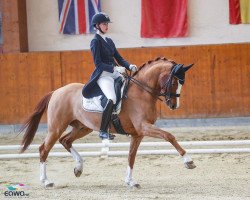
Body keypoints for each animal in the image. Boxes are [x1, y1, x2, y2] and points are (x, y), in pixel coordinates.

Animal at [19, 57, 195, 188]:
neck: (141, 93)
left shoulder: (138, 134)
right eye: (174, 82)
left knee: (65, 140)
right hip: (56, 127)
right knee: (44, 149)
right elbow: (169, 136)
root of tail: (56, 91)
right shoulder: (144, 127)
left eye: (182, 83)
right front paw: (188, 161)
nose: (174, 105)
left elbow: (131, 156)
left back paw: (78, 168)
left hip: (83, 127)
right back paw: (46, 181)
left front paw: (130, 181)